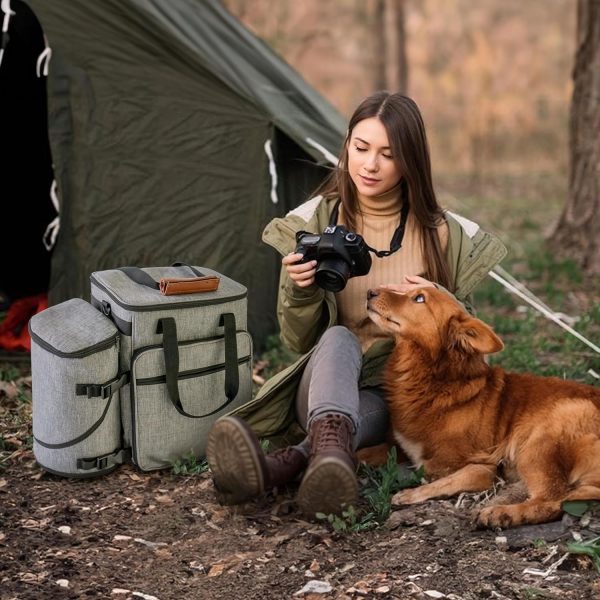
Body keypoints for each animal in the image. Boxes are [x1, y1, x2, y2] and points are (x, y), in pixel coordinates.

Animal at [364, 288, 600, 528]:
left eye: (419, 298)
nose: (370, 291)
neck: (437, 381)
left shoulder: (477, 465)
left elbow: (442, 474)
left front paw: (409, 493)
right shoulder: (399, 446)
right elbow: (365, 452)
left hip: (541, 438)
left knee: (553, 500)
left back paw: (500, 513)